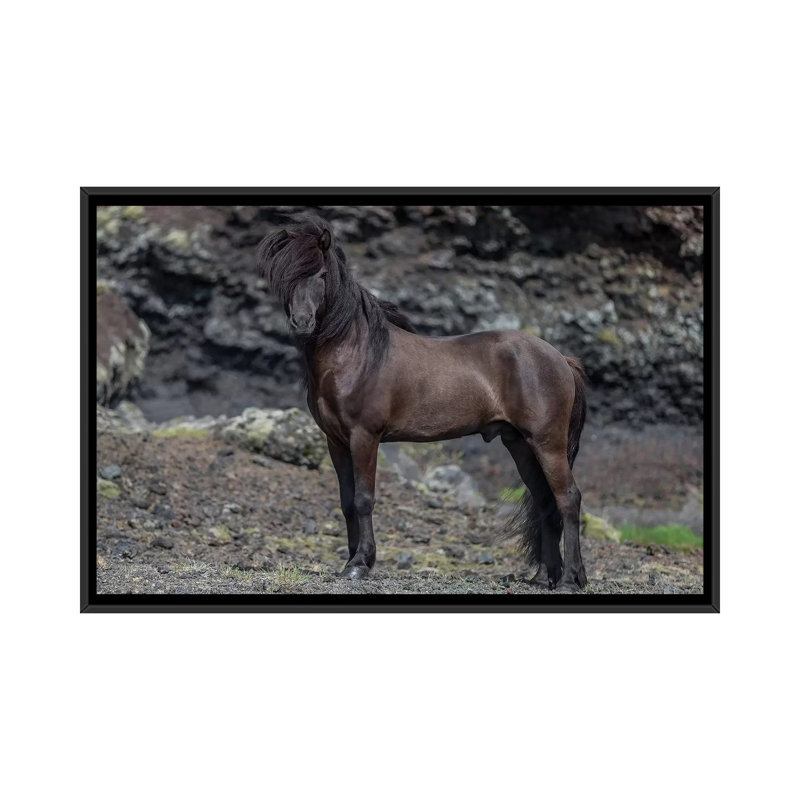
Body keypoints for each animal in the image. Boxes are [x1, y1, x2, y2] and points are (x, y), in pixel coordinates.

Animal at [257, 214, 588, 592]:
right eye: (287, 276)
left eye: (322, 274)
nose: (302, 323)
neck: (356, 355)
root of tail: (560, 358)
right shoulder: (336, 442)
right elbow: (346, 502)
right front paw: (350, 561)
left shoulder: (364, 437)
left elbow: (363, 499)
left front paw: (360, 565)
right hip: (520, 444)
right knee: (546, 501)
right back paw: (546, 576)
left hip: (547, 443)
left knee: (568, 498)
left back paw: (570, 579)